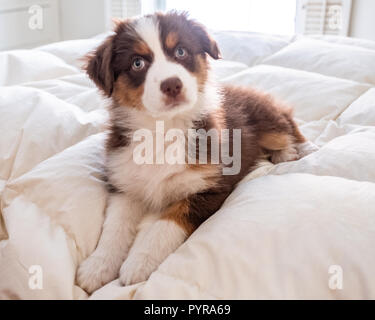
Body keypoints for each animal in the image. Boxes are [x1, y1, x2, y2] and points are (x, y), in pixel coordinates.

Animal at [76, 11, 318, 292]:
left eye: (181, 51)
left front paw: (140, 261)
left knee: (288, 123)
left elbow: (166, 223)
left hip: (268, 123)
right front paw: (98, 265)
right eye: (137, 63)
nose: (172, 85)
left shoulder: (209, 188)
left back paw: (296, 150)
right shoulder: (124, 183)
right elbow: (114, 226)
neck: (164, 129)